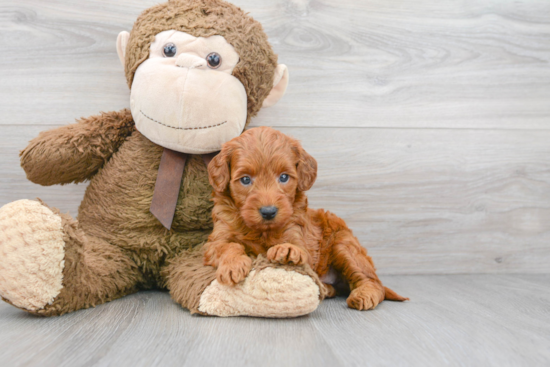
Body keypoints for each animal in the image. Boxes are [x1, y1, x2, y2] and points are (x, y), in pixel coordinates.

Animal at [205, 127, 408, 310]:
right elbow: (228, 245)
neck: (261, 230)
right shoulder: (216, 240)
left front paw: (287, 250)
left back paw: (363, 295)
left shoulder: (298, 234)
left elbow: (296, 246)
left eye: (284, 177)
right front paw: (233, 265)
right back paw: (327, 289)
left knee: (373, 281)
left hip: (344, 245)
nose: (269, 212)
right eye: (246, 180)